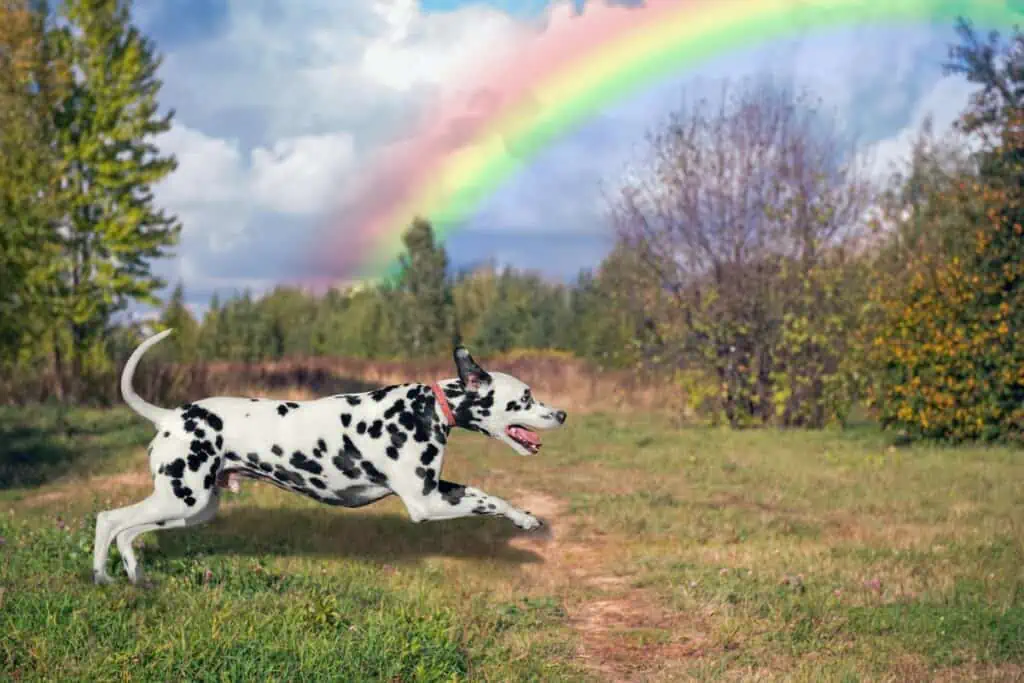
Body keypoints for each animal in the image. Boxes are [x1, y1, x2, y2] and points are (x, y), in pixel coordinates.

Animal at [91, 327, 565, 585]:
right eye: (525, 397)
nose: (561, 413)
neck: (426, 408)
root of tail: (170, 415)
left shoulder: (436, 489)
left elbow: (493, 498)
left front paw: (525, 518)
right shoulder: (426, 503)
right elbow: (485, 498)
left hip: (194, 509)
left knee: (128, 533)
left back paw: (134, 576)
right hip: (180, 499)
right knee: (109, 520)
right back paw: (103, 576)